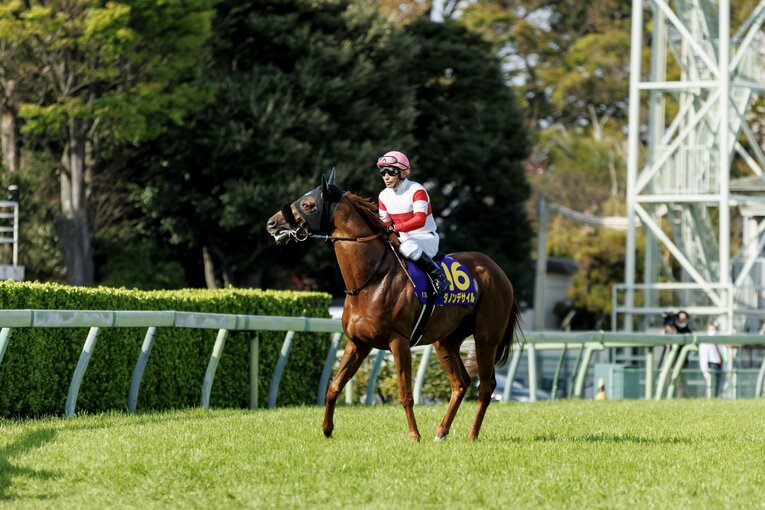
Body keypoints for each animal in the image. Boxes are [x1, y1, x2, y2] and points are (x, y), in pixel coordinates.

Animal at [266, 169, 522, 441]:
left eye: (308, 204)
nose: (272, 223)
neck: (371, 281)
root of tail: (498, 271)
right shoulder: (357, 343)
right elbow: (334, 386)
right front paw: (326, 429)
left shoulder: (399, 341)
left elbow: (405, 393)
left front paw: (414, 435)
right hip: (446, 340)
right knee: (461, 383)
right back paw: (441, 432)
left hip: (486, 338)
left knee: (486, 387)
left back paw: (472, 434)